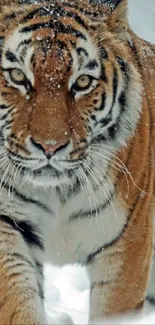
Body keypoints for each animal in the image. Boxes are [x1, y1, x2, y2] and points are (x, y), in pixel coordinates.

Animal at [0, 0, 154, 322]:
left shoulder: (127, 243)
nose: (49, 146)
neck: (58, 191)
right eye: (18, 77)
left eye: (82, 82)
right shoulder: (6, 223)